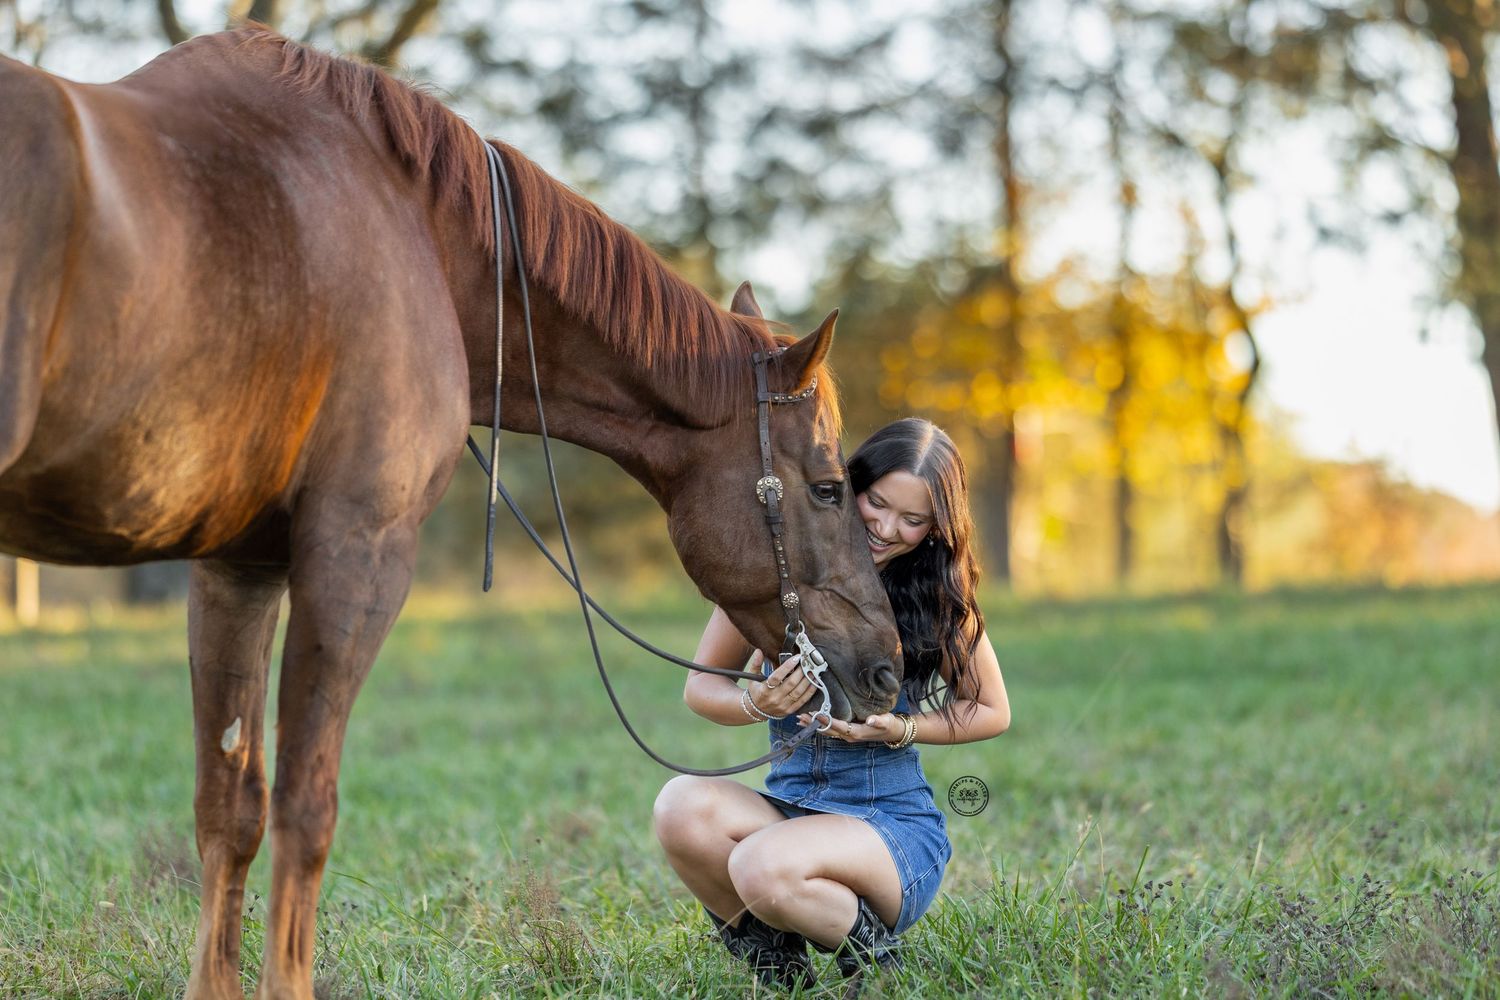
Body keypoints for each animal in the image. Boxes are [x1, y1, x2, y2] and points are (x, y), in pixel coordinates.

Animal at [0, 28, 902, 1000]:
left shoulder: (237, 567)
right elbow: (307, 810)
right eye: (828, 488)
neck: (414, 232)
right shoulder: (357, 554)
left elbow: (229, 807)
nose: (890, 669)